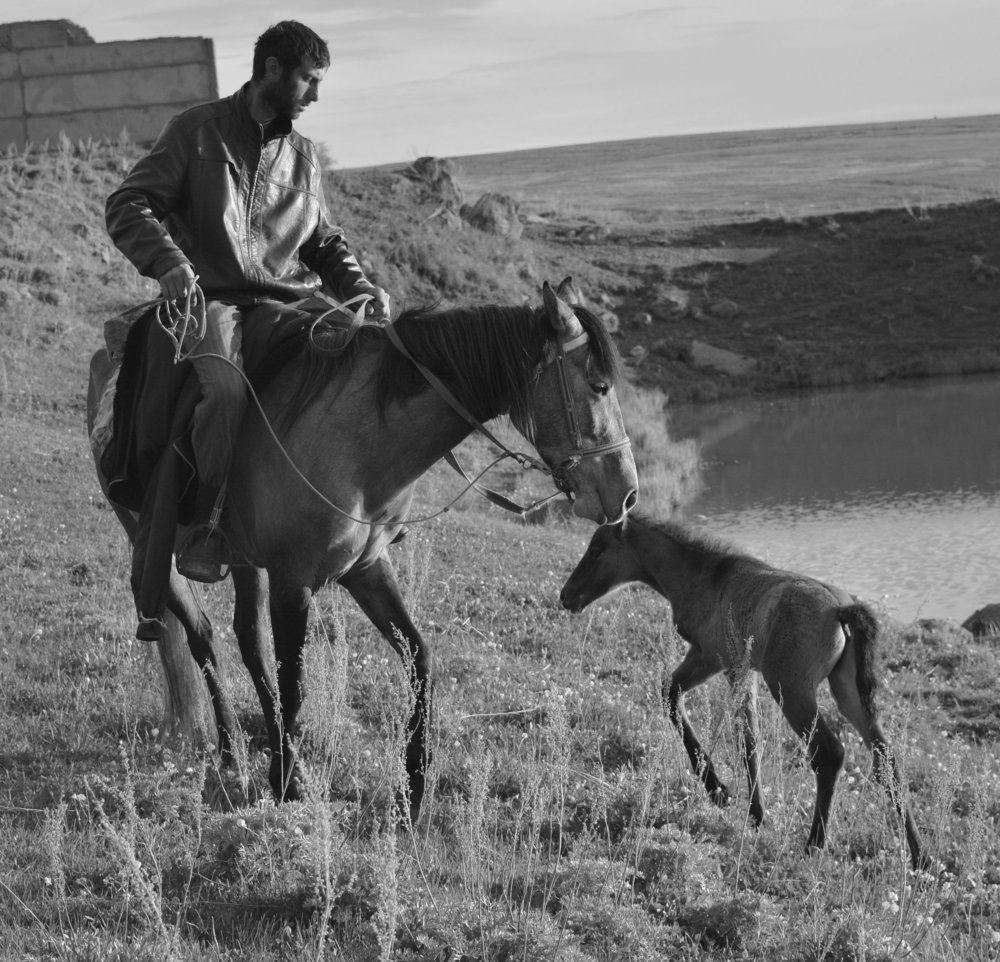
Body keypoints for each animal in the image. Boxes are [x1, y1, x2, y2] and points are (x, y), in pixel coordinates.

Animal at [88, 279, 638, 818]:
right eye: (599, 387)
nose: (627, 494)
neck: (361, 445)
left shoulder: (367, 568)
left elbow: (420, 659)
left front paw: (413, 788)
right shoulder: (293, 580)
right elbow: (295, 680)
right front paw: (287, 784)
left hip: (245, 560)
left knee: (248, 640)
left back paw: (243, 750)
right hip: (151, 539)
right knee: (203, 636)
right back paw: (235, 753)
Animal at [559, 513, 924, 869]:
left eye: (597, 549)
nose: (566, 596)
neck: (705, 576)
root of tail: (841, 608)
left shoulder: (712, 658)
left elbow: (677, 698)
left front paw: (718, 789)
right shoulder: (742, 671)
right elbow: (747, 738)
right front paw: (755, 815)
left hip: (791, 688)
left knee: (828, 753)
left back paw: (814, 845)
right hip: (846, 690)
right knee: (886, 757)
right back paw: (920, 855)